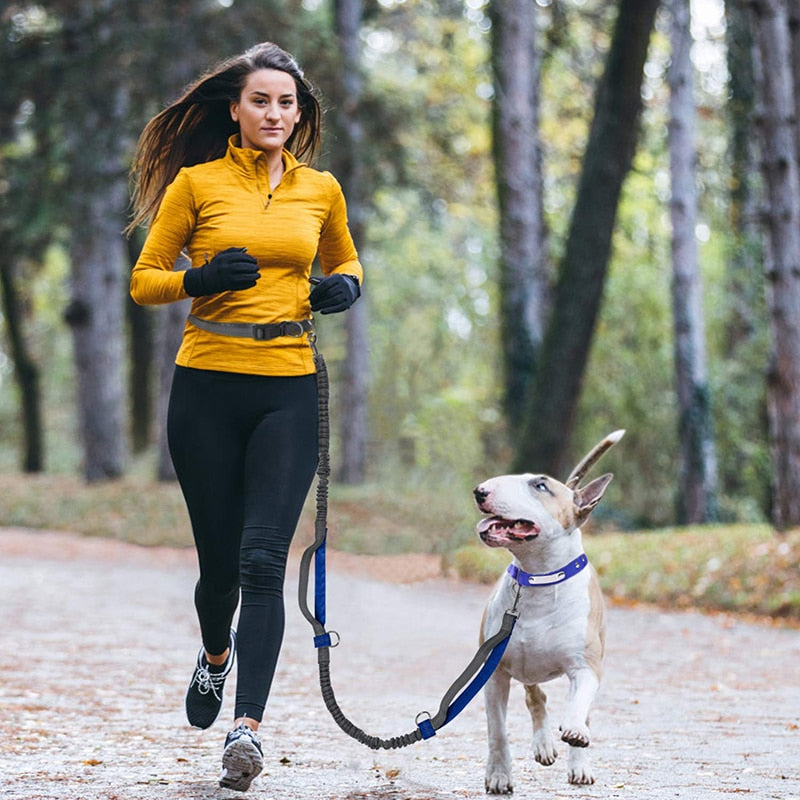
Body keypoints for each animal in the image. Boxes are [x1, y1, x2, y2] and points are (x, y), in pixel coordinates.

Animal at [472, 428, 620, 792]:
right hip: (524, 669)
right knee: (535, 697)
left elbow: (579, 706)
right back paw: (543, 745)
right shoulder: (494, 673)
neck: (537, 578)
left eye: (541, 485)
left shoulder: (586, 667)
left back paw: (578, 763)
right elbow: (498, 730)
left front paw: (575, 733)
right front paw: (499, 775)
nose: (480, 491)